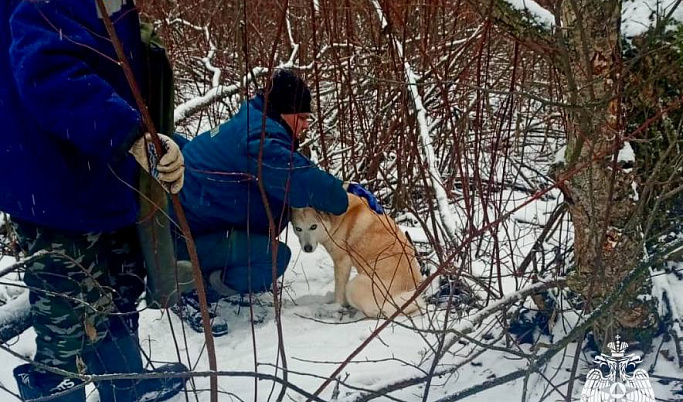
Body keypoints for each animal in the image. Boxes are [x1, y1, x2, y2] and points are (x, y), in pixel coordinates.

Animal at [292, 193, 424, 318]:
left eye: (313, 226)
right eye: (298, 229)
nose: (307, 248)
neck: (338, 218)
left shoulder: (342, 262)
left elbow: (339, 292)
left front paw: (336, 306)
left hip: (353, 287)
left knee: (376, 311)